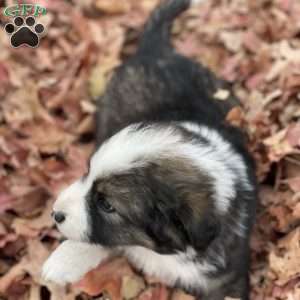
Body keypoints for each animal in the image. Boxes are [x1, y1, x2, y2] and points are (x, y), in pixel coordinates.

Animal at [42, 1, 258, 298]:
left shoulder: (226, 278)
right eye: (87, 172)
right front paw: (64, 260)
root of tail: (156, 49)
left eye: (107, 204)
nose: (56, 213)